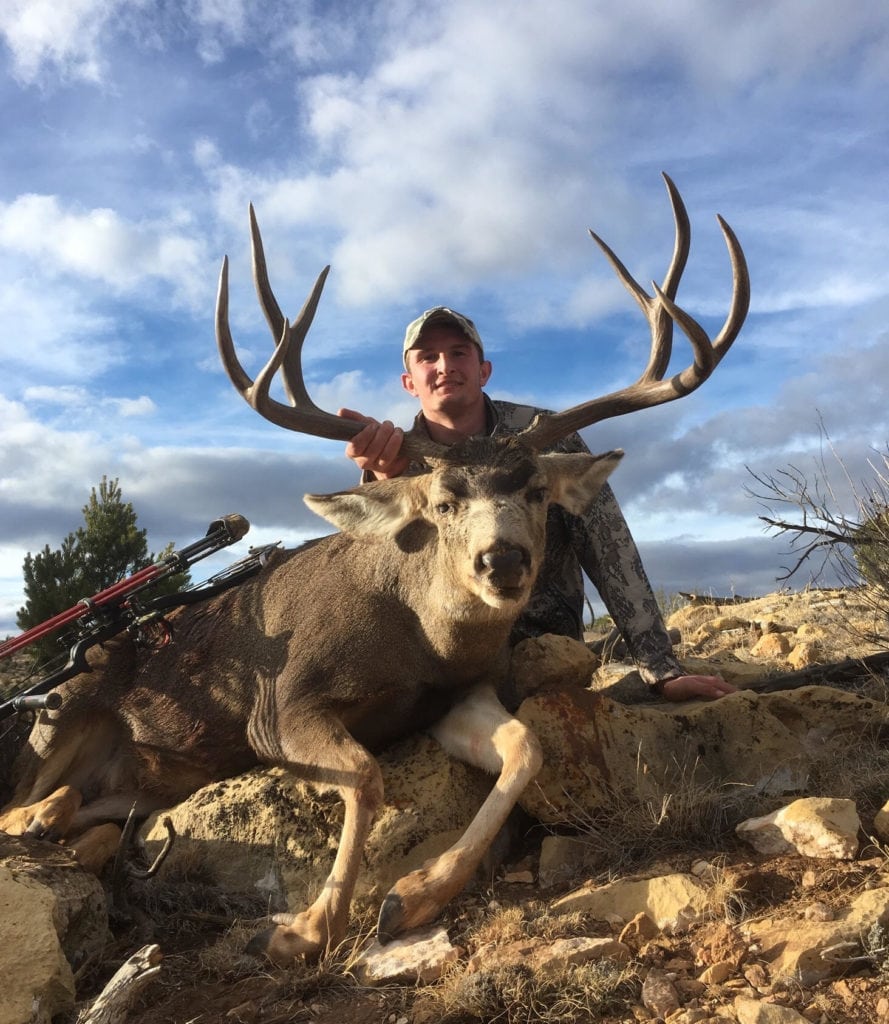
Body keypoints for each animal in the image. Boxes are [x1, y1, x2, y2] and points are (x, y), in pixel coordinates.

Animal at [0, 174, 749, 964]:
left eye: (539, 493)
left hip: (147, 781)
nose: (502, 559)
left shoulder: (457, 693)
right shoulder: (280, 707)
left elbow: (526, 745)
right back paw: (39, 817)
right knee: (22, 802)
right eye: (444, 501)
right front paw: (305, 927)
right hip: (61, 710)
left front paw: (413, 894)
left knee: (104, 811)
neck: (418, 640)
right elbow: (364, 774)